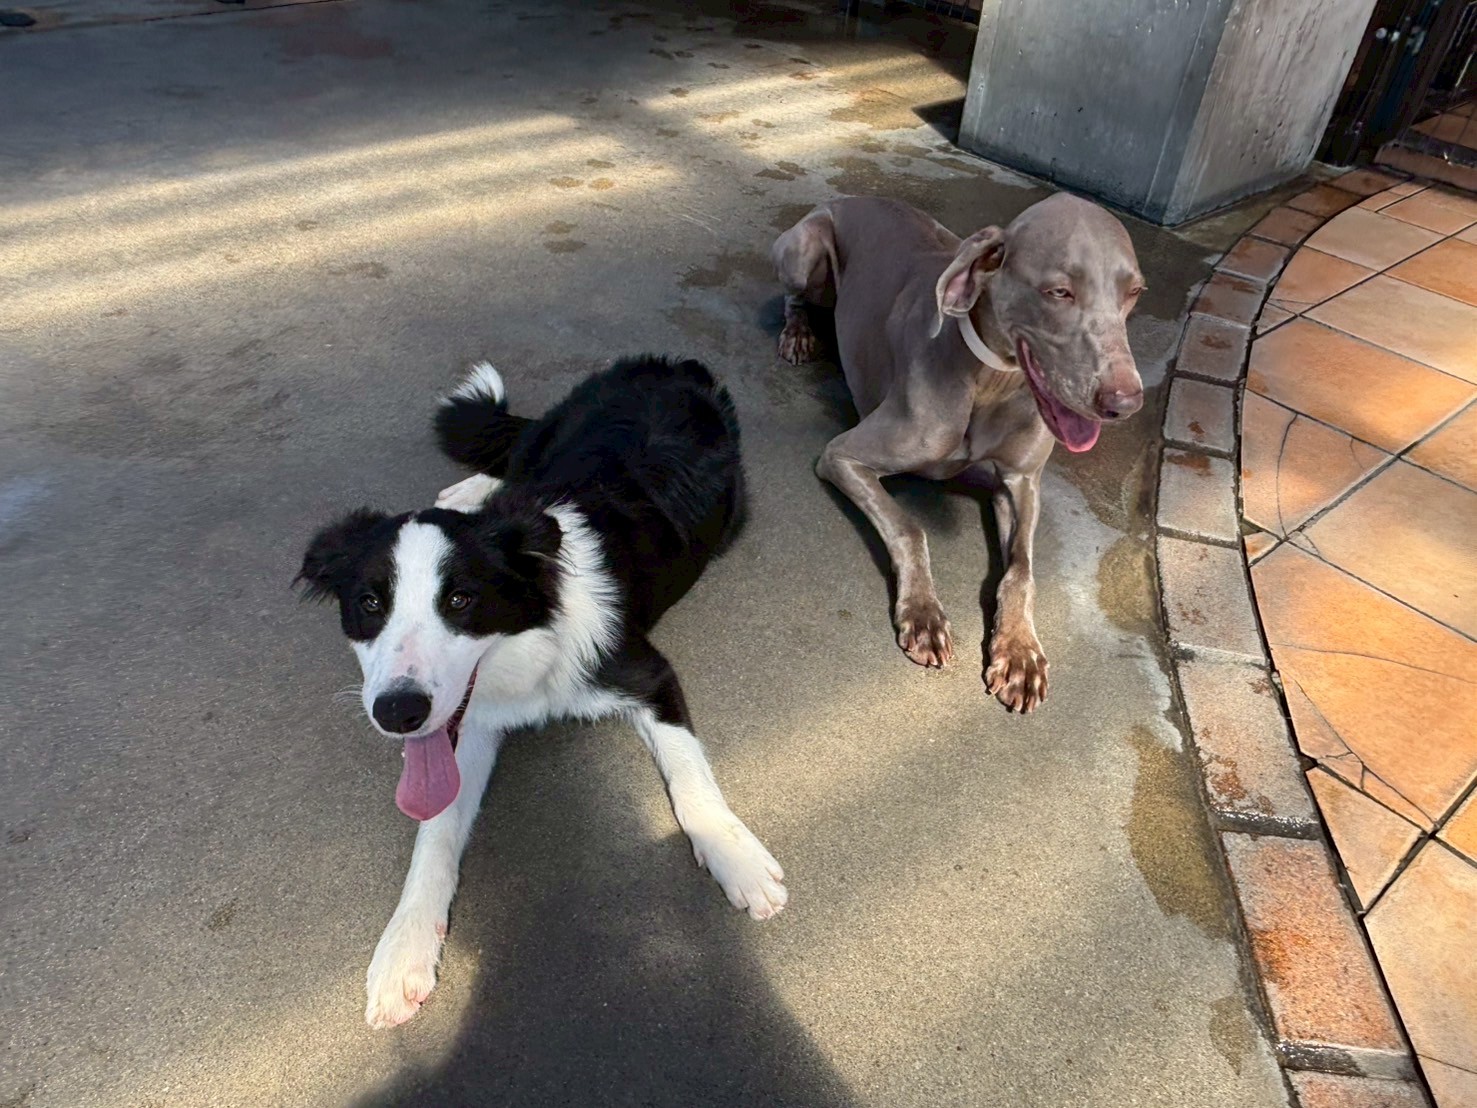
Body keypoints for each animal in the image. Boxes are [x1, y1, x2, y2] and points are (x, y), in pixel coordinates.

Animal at [297, 356, 786, 1029]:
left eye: (461, 600)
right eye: (369, 604)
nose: (397, 712)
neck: (528, 644)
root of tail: (673, 365)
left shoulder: (647, 673)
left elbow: (691, 781)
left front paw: (734, 854)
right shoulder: (466, 722)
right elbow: (435, 831)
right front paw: (405, 947)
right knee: (515, 455)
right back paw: (473, 491)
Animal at [771, 194, 1145, 712]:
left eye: (1135, 292)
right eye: (1059, 292)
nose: (1125, 403)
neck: (991, 382)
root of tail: (847, 197)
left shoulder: (1021, 483)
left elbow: (1021, 569)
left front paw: (1020, 651)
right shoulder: (841, 456)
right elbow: (910, 527)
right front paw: (924, 612)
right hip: (804, 253)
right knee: (794, 296)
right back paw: (798, 332)